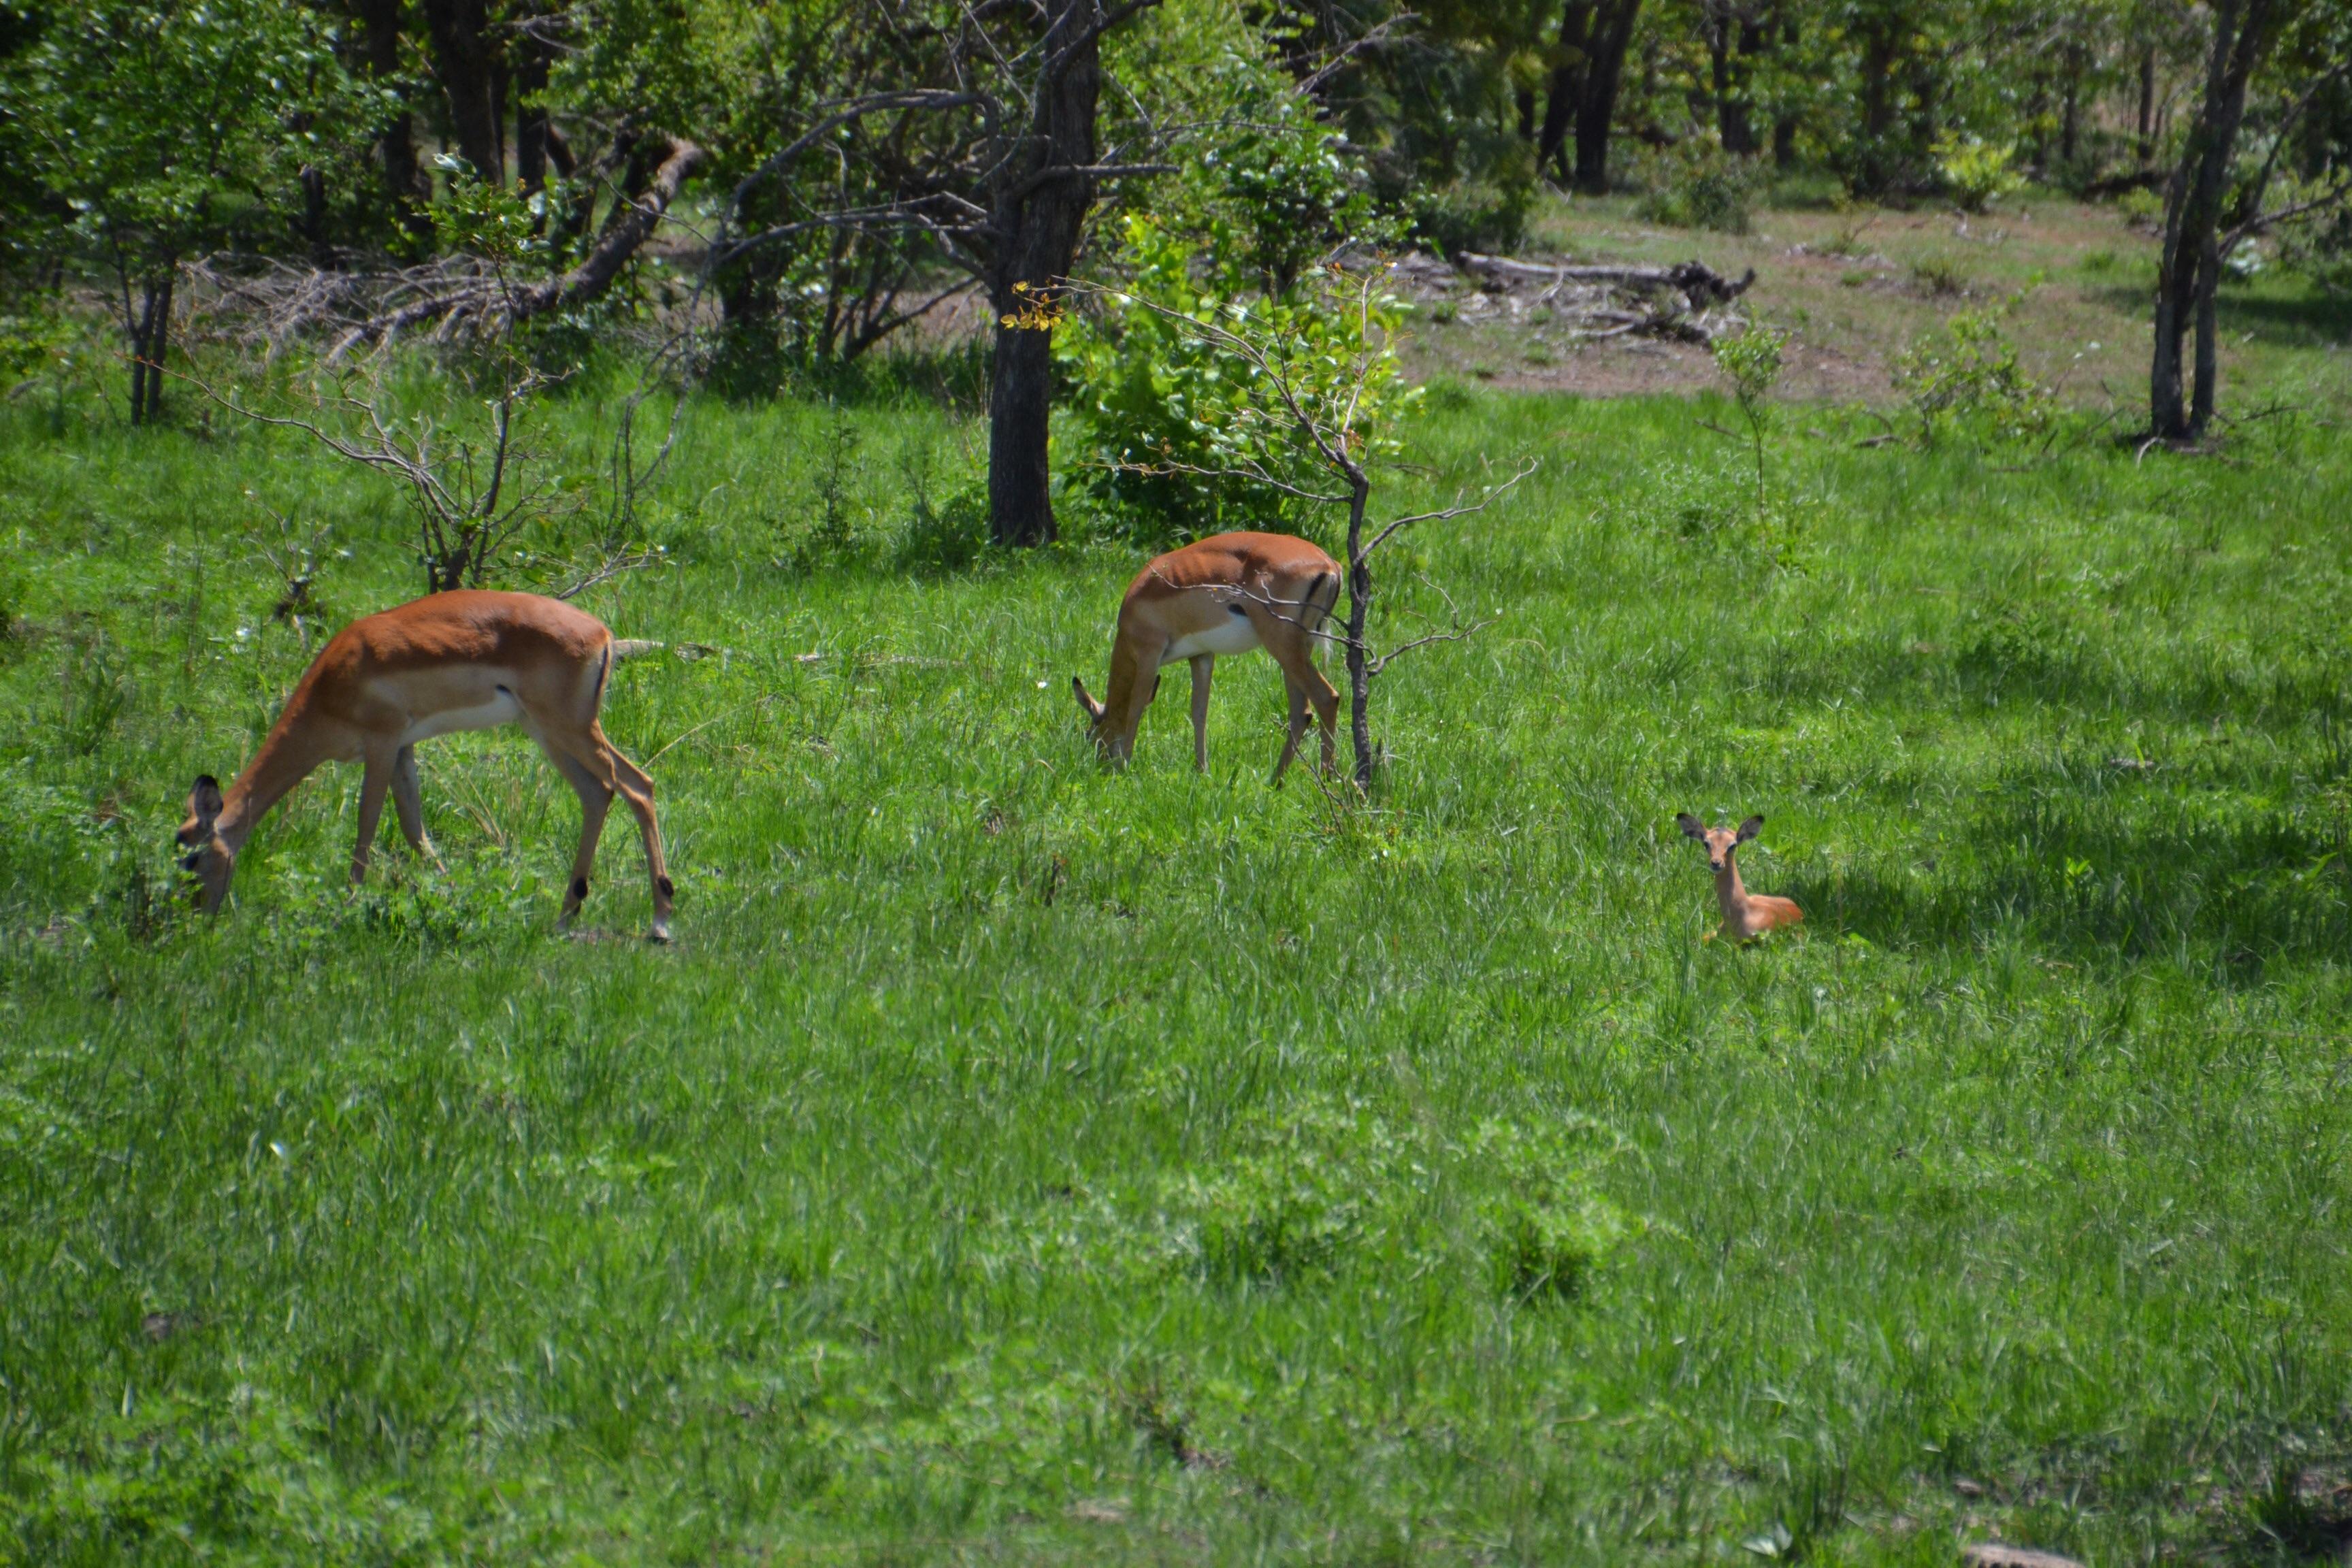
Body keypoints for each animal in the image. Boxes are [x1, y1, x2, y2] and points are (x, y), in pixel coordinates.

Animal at [176, 590, 675, 941]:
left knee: (639, 786)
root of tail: (602, 634)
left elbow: (366, 825)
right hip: (546, 733)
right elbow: (415, 829)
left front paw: (345, 910)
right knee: (598, 792)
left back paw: (660, 922)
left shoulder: (381, 744)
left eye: (193, 857)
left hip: (570, 728)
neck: (333, 681)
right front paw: (458, 900)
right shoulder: (403, 750)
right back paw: (565, 917)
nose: (195, 917)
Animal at [1072, 531, 1342, 782]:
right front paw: (1202, 771)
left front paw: (1124, 768)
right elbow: (1199, 711)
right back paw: (1276, 781)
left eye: (1089, 734)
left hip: (1282, 646)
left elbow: (1135, 707)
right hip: (1298, 649)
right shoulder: (1201, 655)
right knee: (1302, 712)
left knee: (1327, 698)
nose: (1101, 767)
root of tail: (1329, 564)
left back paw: (1325, 779)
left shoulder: (1150, 654)